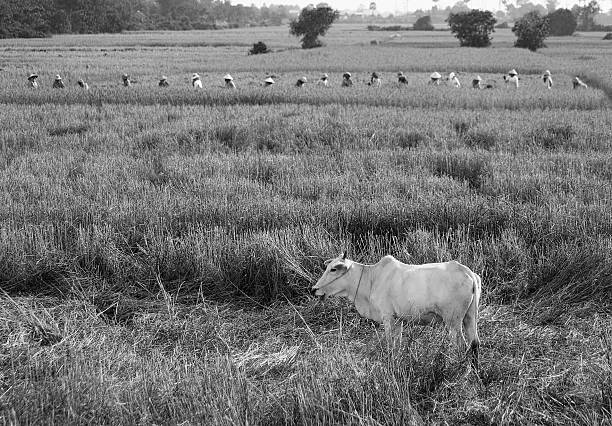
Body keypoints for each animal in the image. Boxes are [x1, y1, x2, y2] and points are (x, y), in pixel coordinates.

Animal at [314, 253, 480, 366]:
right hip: (470, 317)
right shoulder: (398, 320)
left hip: (453, 321)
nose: (314, 289)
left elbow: (390, 344)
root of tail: (468, 272)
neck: (372, 279)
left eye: (333, 269)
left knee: (462, 346)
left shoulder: (387, 317)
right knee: (474, 343)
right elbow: (398, 345)